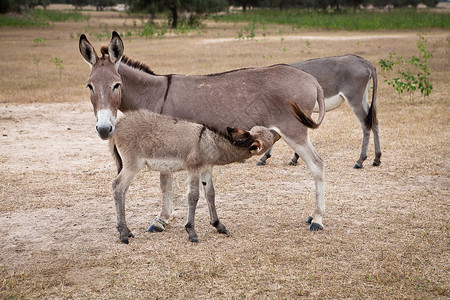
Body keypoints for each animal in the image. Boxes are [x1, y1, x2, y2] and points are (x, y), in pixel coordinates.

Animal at [110, 110, 278, 244]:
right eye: (270, 137)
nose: (277, 132)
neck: (211, 143)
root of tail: (118, 126)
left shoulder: (206, 170)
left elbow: (210, 194)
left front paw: (218, 225)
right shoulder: (194, 169)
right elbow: (193, 196)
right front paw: (191, 231)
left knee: (121, 189)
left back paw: (126, 231)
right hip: (133, 164)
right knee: (118, 186)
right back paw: (123, 233)